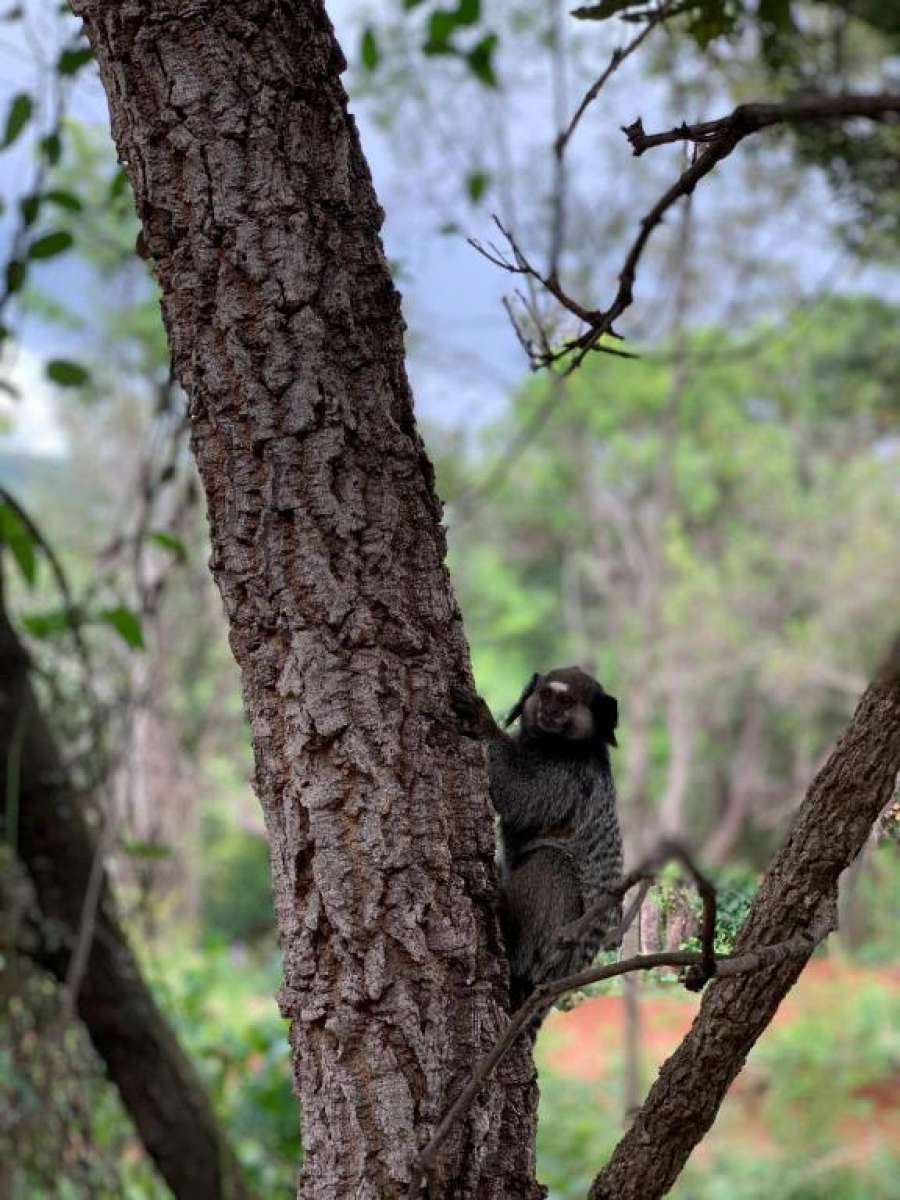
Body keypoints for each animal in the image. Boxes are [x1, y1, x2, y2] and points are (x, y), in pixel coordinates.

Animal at [458, 667, 619, 1012]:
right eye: (546, 695)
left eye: (566, 702)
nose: (550, 711)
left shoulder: (566, 777)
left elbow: (517, 792)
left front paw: (482, 721)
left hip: (558, 945)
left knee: (552, 861)